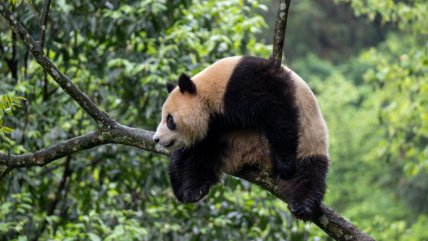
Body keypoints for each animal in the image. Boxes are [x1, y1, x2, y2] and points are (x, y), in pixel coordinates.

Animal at [154, 56, 332, 220]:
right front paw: (182, 186)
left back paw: (302, 206)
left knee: (308, 174)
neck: (210, 91)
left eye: (169, 120)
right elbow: (192, 150)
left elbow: (278, 113)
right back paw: (194, 190)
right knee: (203, 157)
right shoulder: (215, 125)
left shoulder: (249, 82)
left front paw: (285, 165)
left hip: (310, 142)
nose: (157, 139)